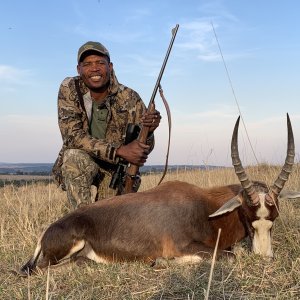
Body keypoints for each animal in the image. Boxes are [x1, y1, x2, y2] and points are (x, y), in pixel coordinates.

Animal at [19, 113, 298, 276]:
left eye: (273, 218)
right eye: (248, 217)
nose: (265, 258)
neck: (205, 207)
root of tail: (47, 232)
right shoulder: (186, 246)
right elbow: (230, 255)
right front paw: (162, 263)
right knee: (43, 269)